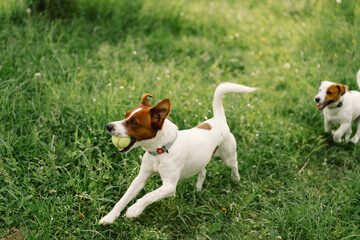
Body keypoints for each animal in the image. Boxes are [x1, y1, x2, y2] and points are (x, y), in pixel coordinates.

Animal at [98, 83, 256, 225]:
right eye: (125, 115)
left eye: (133, 122)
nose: (108, 126)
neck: (160, 150)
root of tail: (218, 119)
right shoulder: (140, 179)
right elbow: (124, 198)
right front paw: (109, 217)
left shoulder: (169, 185)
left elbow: (149, 195)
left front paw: (135, 209)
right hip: (201, 159)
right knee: (203, 171)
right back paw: (198, 188)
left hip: (228, 155)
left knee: (234, 165)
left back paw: (236, 179)